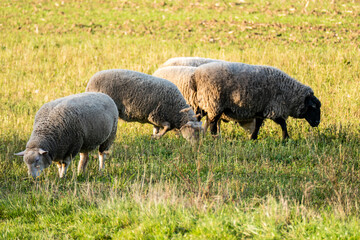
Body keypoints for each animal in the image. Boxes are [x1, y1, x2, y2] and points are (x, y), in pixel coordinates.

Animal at [188, 61, 320, 140]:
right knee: (213, 124)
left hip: (203, 102)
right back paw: (215, 137)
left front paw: (253, 137)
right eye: (313, 107)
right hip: (214, 103)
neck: (290, 94)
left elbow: (258, 124)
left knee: (198, 117)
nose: (317, 122)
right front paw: (286, 138)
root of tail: (195, 76)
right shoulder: (274, 109)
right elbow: (283, 123)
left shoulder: (261, 109)